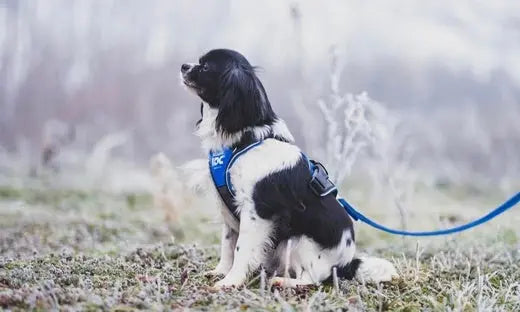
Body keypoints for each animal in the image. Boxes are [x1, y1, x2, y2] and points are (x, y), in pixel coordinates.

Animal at [181, 48, 396, 288]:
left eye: (206, 67)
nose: (183, 66)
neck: (245, 140)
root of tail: (346, 265)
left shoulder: (254, 212)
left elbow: (241, 249)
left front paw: (231, 281)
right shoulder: (230, 210)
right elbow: (227, 244)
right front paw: (221, 272)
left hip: (297, 241)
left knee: (311, 280)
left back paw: (282, 281)